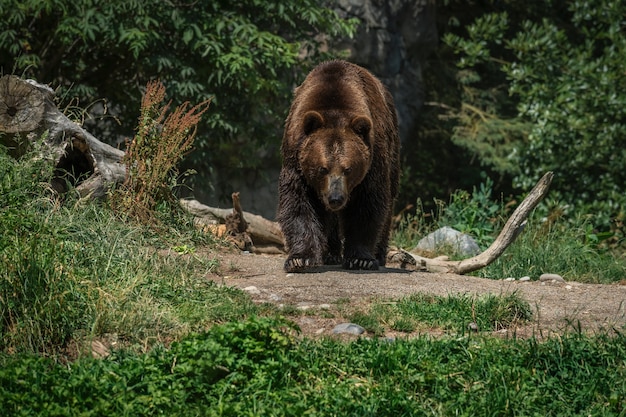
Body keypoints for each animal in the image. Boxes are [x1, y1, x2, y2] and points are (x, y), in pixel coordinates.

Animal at [276, 60, 398, 272]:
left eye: (348, 169)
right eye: (322, 168)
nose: (336, 198)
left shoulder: (373, 159)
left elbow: (367, 204)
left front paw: (361, 259)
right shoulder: (296, 158)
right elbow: (298, 202)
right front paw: (300, 258)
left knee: (390, 198)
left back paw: (379, 254)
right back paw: (330, 253)